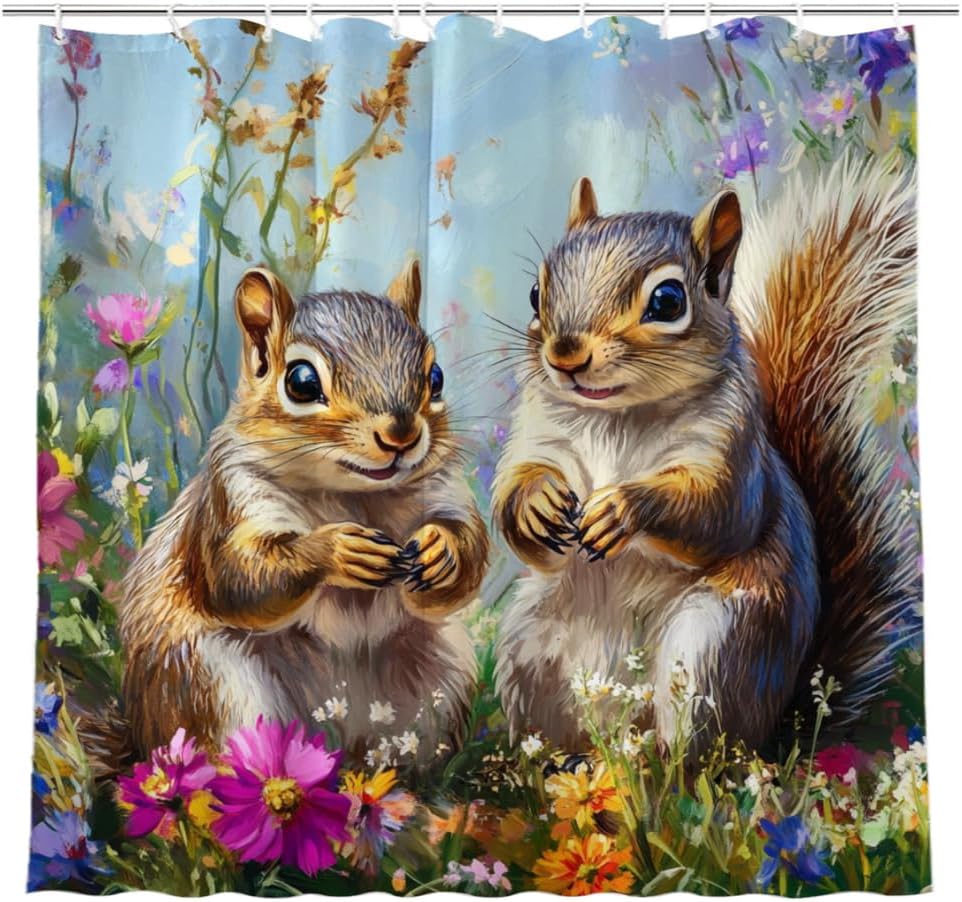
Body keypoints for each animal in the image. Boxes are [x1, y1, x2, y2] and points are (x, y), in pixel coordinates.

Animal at [108, 259, 489, 765]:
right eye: (301, 382)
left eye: (437, 376)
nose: (401, 435)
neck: (354, 496)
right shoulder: (231, 498)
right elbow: (239, 576)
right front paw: (338, 550)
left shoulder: (444, 490)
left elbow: (469, 552)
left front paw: (441, 550)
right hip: (212, 683)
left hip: (439, 676)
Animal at [492, 158, 918, 756]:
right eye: (536, 292)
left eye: (668, 301)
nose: (566, 355)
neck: (616, 416)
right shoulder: (540, 435)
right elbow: (517, 496)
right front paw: (537, 504)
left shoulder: (733, 453)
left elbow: (718, 515)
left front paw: (622, 507)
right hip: (530, 648)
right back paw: (566, 765)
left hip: (712, 649)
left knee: (698, 753)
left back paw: (663, 766)